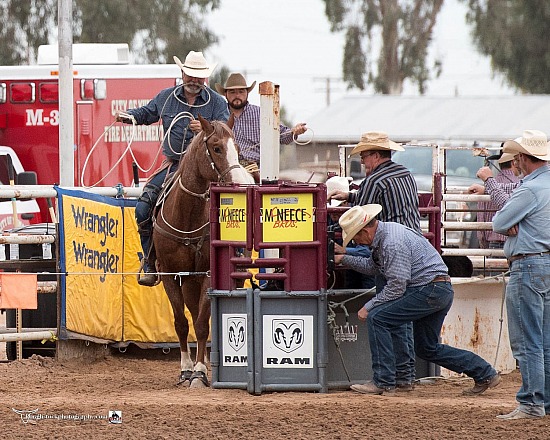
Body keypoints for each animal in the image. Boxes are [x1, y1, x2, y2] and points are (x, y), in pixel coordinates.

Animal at [152, 115, 253, 386]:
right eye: (216, 148)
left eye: (236, 148)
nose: (239, 184)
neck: (186, 216)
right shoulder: (170, 274)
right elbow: (181, 322)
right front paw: (186, 369)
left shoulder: (208, 274)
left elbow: (202, 324)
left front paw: (199, 372)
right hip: (189, 282)